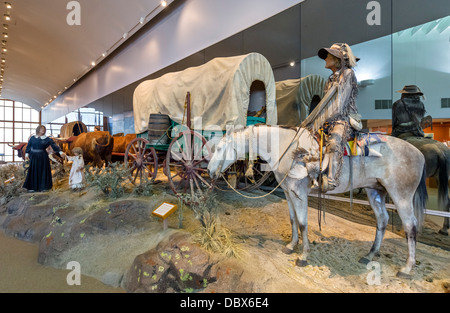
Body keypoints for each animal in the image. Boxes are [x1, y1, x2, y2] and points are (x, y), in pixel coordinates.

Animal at [209, 124, 428, 276]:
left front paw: (303, 256)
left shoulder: (299, 193)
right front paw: (291, 246)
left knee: (410, 227)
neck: (288, 148)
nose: (210, 171)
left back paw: (407, 268)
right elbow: (293, 220)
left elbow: (303, 223)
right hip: (375, 191)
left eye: (219, 148)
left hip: (401, 196)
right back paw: (369, 256)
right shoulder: (288, 193)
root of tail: (419, 153)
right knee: (382, 220)